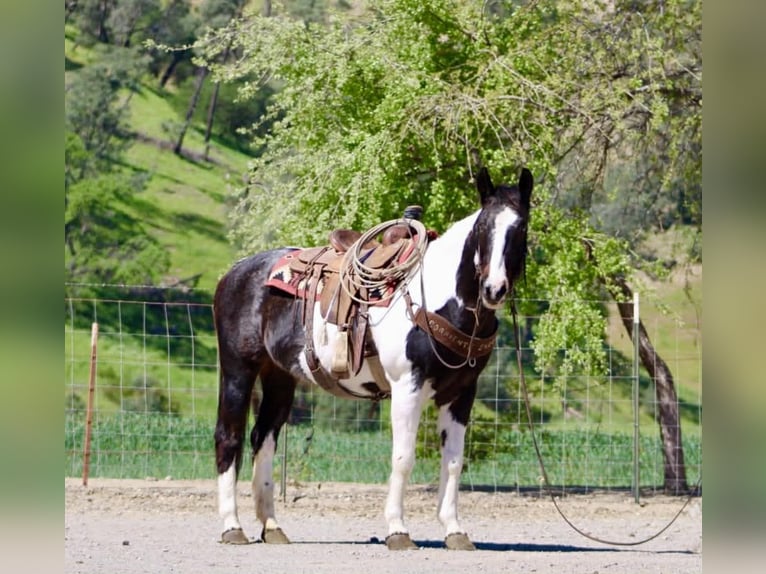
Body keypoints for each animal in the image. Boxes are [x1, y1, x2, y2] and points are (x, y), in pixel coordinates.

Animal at [213, 166, 533, 550]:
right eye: (483, 226)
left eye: (521, 228)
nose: (493, 289)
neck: (439, 298)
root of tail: (237, 270)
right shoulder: (408, 387)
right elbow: (403, 457)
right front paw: (397, 530)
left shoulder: (461, 394)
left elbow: (454, 462)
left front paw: (455, 530)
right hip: (238, 369)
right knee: (228, 437)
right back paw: (232, 526)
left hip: (279, 377)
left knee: (264, 438)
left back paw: (272, 526)